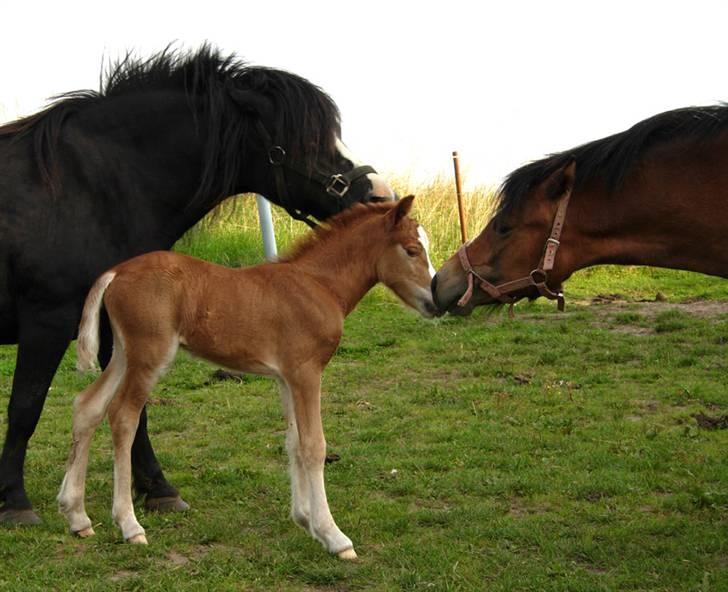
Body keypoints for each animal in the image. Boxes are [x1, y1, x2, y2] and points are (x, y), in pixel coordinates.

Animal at [0, 47, 396, 528]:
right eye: (307, 140)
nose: (378, 195)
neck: (87, 186)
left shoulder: (122, 331)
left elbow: (135, 414)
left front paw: (157, 489)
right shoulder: (47, 322)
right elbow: (26, 407)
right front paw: (14, 500)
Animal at [59, 198, 436, 560]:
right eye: (411, 250)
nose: (435, 302)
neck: (318, 285)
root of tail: (116, 271)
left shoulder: (286, 377)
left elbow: (293, 442)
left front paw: (305, 520)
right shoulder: (306, 372)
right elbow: (314, 446)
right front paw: (333, 536)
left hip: (124, 352)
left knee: (88, 405)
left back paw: (77, 515)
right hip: (150, 355)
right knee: (123, 416)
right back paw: (129, 524)